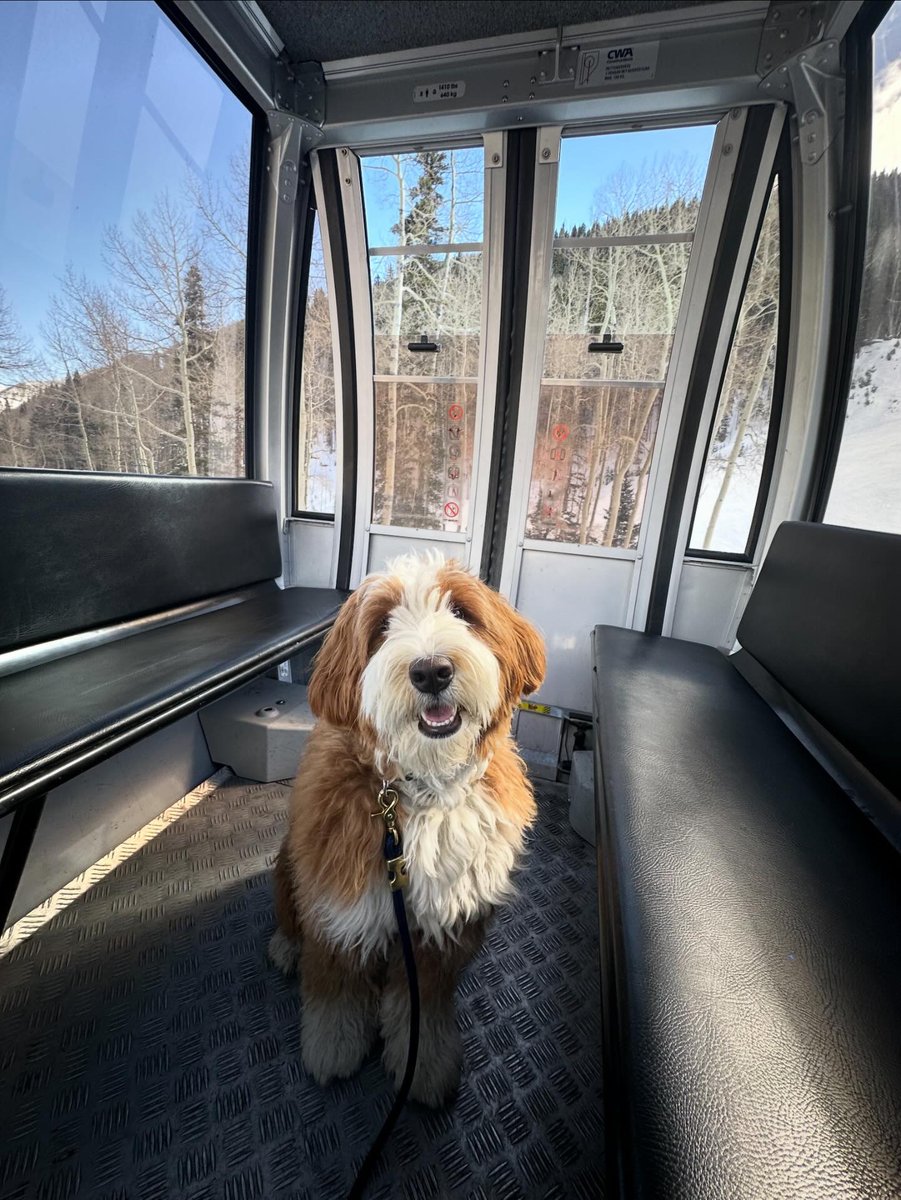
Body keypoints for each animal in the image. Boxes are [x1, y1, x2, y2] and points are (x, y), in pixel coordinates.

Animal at [267, 552, 547, 1104]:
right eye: (381, 626)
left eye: (461, 612)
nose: (432, 671)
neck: (421, 787)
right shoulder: (340, 906)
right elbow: (334, 988)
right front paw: (333, 1051)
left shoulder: (443, 928)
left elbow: (424, 1007)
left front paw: (425, 1066)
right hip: (291, 861)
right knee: (290, 914)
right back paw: (286, 946)